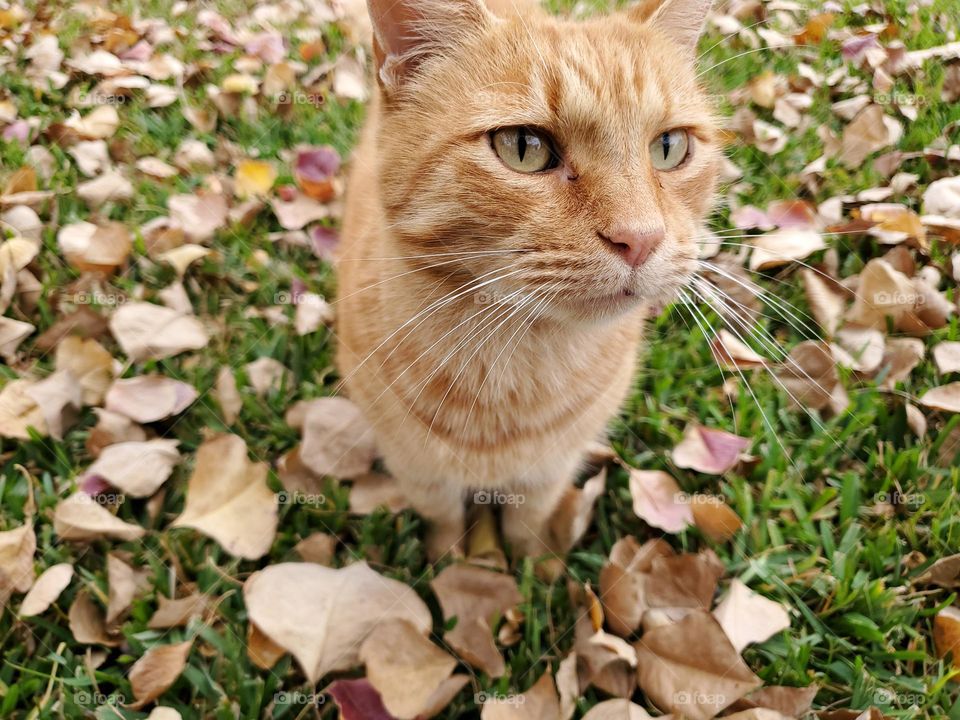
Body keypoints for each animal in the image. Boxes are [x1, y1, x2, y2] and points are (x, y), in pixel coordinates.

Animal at [338, 0, 720, 560]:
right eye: (524, 147)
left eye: (669, 147)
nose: (640, 237)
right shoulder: (417, 471)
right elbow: (444, 521)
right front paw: (450, 563)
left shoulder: (549, 471)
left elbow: (529, 522)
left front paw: (534, 567)